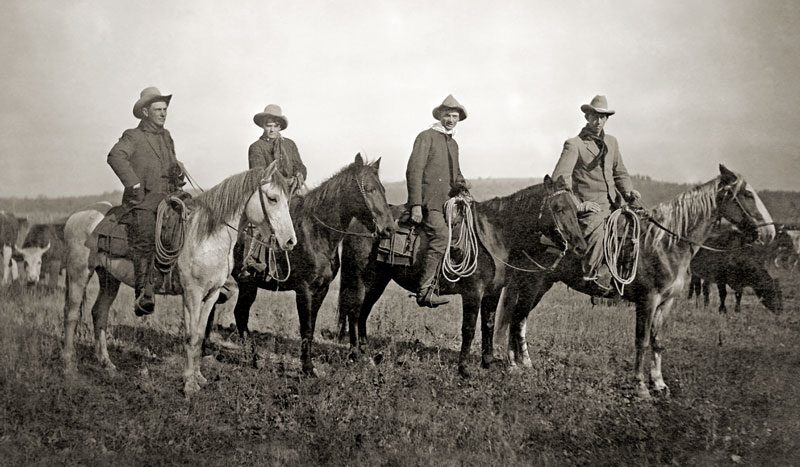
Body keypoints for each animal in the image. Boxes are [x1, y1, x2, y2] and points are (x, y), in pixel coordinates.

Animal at [61, 163, 296, 396]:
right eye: (273, 199)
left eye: (288, 200)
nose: (290, 242)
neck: (208, 236)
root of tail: (76, 216)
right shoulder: (192, 293)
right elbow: (191, 336)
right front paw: (189, 384)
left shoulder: (211, 294)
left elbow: (200, 335)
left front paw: (199, 377)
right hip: (79, 273)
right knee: (71, 315)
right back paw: (69, 366)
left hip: (109, 279)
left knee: (99, 313)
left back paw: (107, 364)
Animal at [212, 155, 396, 378]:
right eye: (369, 189)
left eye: (383, 189)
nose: (389, 228)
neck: (317, 234)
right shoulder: (304, 290)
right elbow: (306, 327)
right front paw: (308, 368)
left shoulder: (321, 290)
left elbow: (312, 326)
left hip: (246, 284)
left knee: (234, 312)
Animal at [336, 176, 588, 376]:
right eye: (559, 208)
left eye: (576, 209)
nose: (581, 247)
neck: (493, 234)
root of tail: (359, 222)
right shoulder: (473, 293)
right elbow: (468, 329)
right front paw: (464, 367)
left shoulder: (493, 292)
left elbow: (488, 325)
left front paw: (488, 363)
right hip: (360, 279)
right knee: (354, 311)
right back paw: (355, 354)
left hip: (378, 281)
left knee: (363, 312)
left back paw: (366, 352)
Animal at [496, 166, 780, 400]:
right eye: (747, 195)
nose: (769, 232)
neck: (666, 243)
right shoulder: (648, 300)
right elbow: (641, 341)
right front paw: (641, 386)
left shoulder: (667, 302)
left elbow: (658, 341)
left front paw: (660, 384)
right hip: (532, 283)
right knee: (516, 319)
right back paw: (514, 365)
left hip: (538, 285)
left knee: (519, 319)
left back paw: (525, 363)